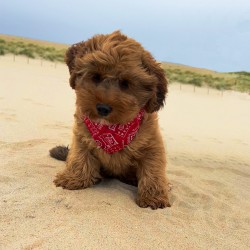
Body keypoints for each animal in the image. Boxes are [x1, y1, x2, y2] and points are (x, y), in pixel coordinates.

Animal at [51, 31, 171, 209]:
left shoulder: (152, 144)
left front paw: (153, 197)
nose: (103, 108)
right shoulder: (81, 136)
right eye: (96, 76)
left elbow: (153, 168)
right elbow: (79, 156)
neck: (112, 129)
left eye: (126, 83)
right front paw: (73, 178)